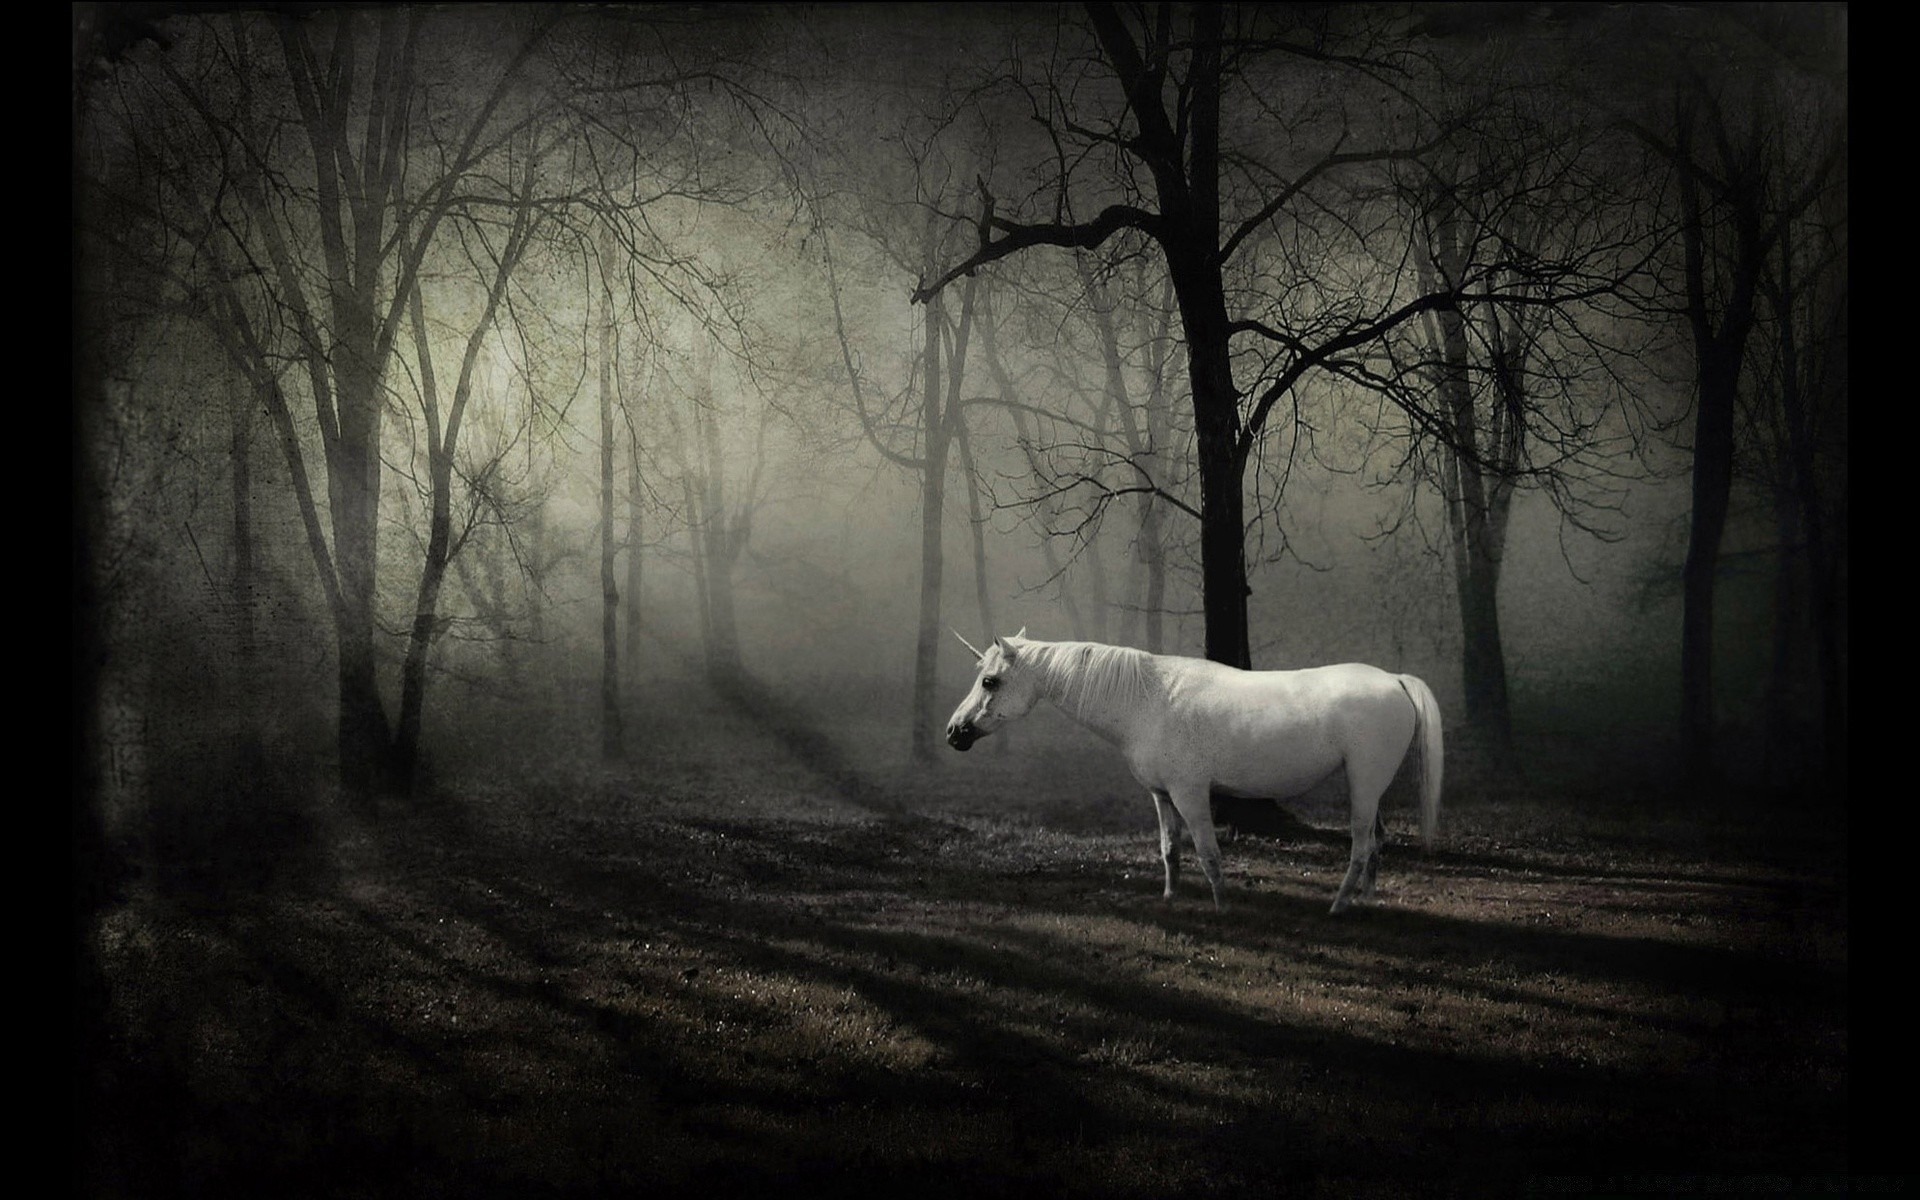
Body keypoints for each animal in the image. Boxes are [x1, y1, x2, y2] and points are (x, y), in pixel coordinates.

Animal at [944, 630, 1442, 915]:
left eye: (990, 681)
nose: (954, 732)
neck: (1147, 700)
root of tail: (1394, 680)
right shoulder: (1162, 795)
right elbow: (1171, 849)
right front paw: (1170, 897)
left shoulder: (1190, 794)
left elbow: (1208, 853)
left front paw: (1221, 908)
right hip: (1371, 789)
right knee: (1377, 843)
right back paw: (1365, 899)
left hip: (1364, 786)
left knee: (1360, 847)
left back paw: (1338, 907)